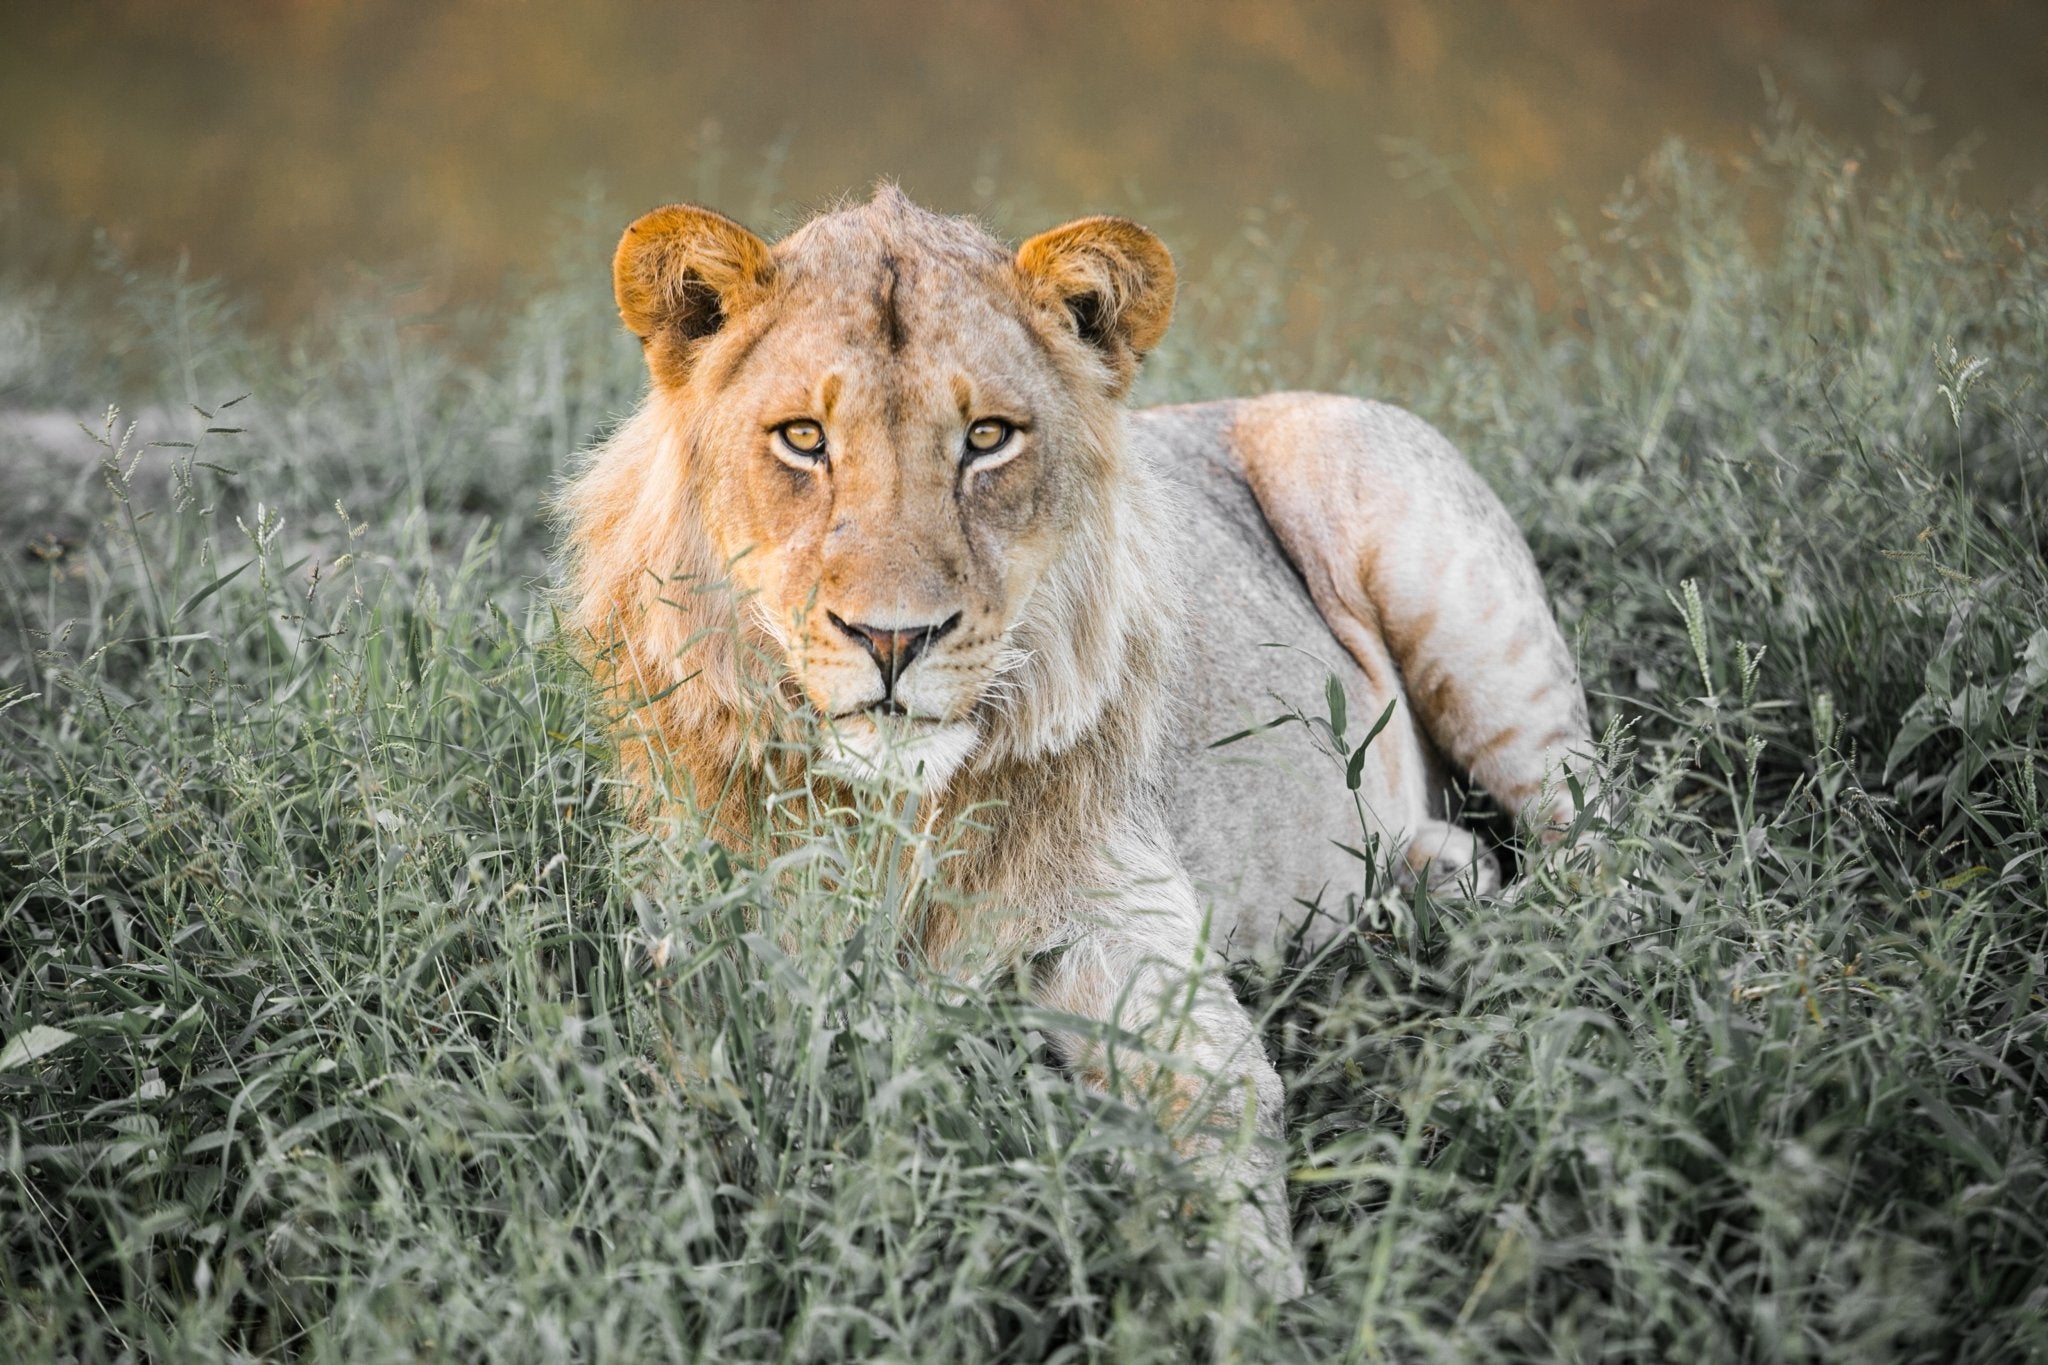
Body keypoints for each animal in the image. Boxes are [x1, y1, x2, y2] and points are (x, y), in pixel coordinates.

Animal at [561, 185, 1593, 1295]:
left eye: (985, 438)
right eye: (802, 438)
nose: (893, 638)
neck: (897, 824)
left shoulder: (1124, 923)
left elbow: (1216, 1102)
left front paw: (1253, 1301)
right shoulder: (696, 940)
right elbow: (682, 1108)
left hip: (1465, 614)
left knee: (1605, 852)